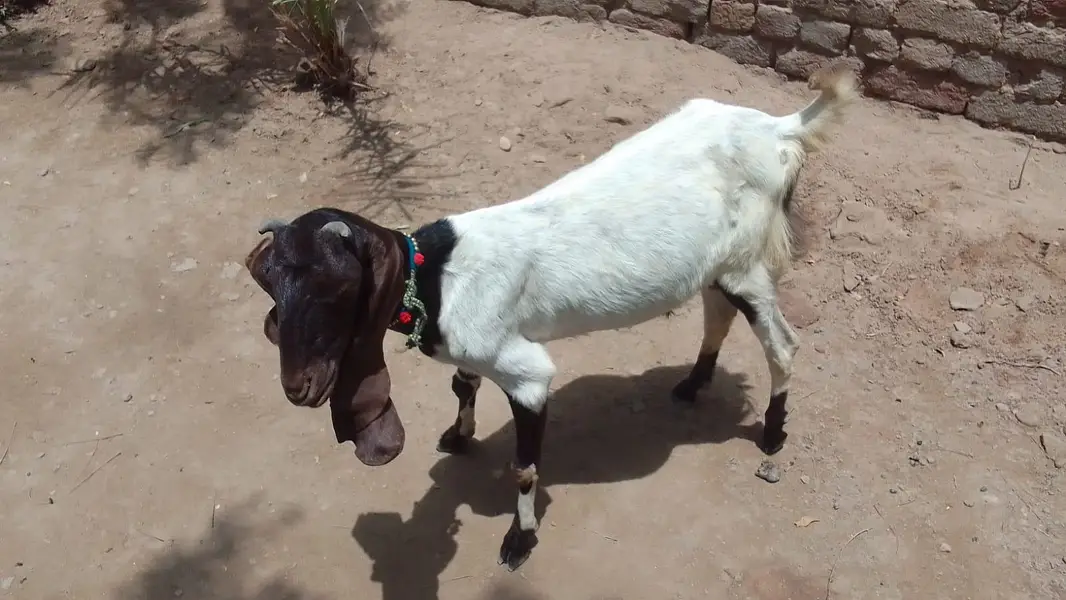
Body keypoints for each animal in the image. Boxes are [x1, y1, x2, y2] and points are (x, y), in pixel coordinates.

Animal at [244, 62, 858, 572]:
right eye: (270, 283)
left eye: (333, 289)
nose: (299, 388)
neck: (437, 276)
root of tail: (782, 128)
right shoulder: (478, 346)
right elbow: (462, 385)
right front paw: (458, 435)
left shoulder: (527, 374)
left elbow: (524, 466)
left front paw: (519, 541)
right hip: (718, 264)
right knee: (717, 317)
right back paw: (693, 383)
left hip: (748, 263)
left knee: (782, 343)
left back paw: (772, 435)